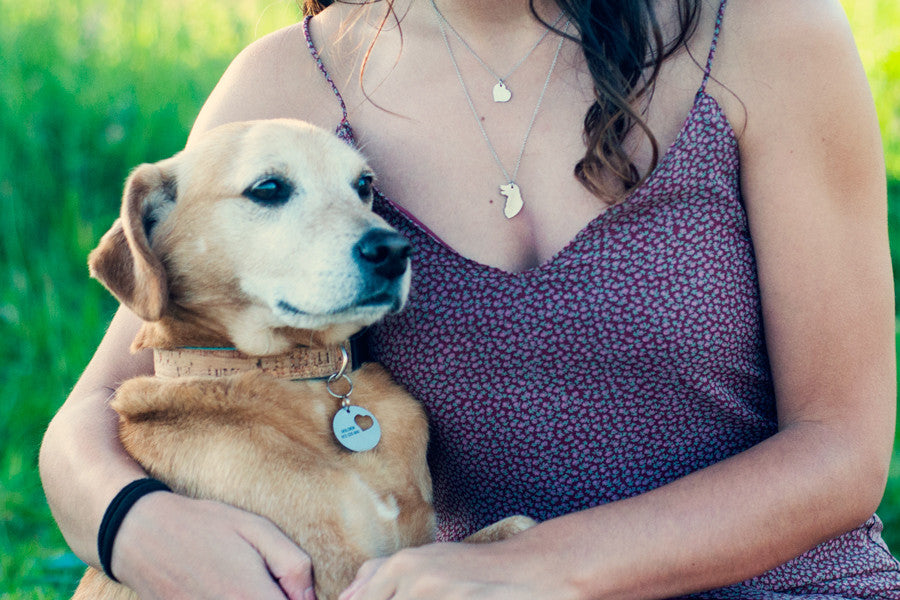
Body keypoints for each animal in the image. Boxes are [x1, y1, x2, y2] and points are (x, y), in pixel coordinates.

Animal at [75, 119, 536, 596]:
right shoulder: (339, 575)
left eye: (364, 185)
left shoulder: (413, 543)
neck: (294, 375)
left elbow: (497, 532)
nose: (393, 250)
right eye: (269, 188)